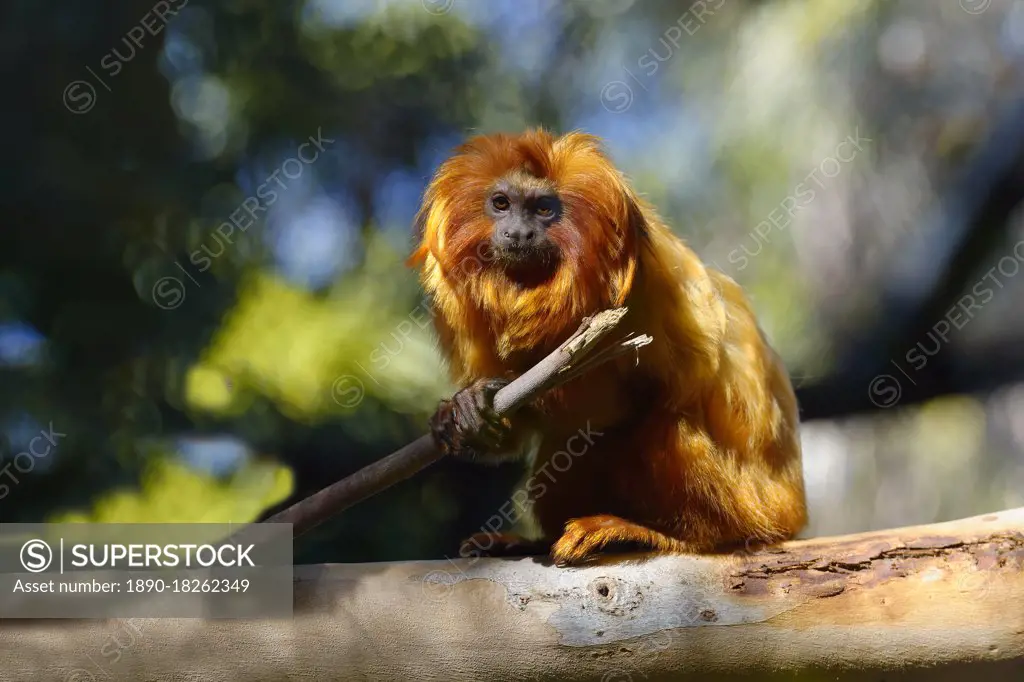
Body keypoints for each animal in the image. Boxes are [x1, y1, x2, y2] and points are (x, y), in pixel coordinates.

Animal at [403, 127, 802, 561]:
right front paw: (466, 408)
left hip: (749, 502)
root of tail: (792, 507)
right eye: (501, 203)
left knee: (660, 424)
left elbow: (605, 408)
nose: (519, 233)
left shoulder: (634, 292)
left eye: (544, 209)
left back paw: (658, 534)